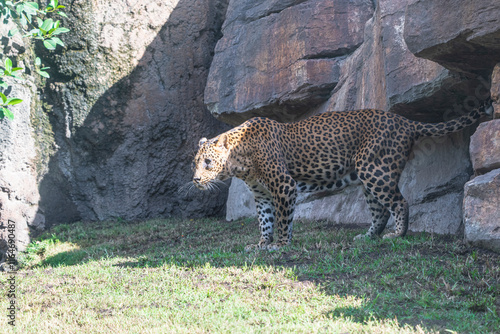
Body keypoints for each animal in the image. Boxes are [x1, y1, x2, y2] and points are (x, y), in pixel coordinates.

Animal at [191, 103, 492, 250]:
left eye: (207, 162)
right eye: (195, 163)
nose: (195, 180)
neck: (240, 162)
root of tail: (405, 121)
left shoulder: (284, 186)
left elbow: (284, 219)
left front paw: (281, 245)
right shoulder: (263, 194)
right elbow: (265, 221)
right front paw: (262, 244)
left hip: (376, 170)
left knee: (399, 203)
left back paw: (397, 235)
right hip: (368, 176)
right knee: (380, 211)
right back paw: (368, 238)